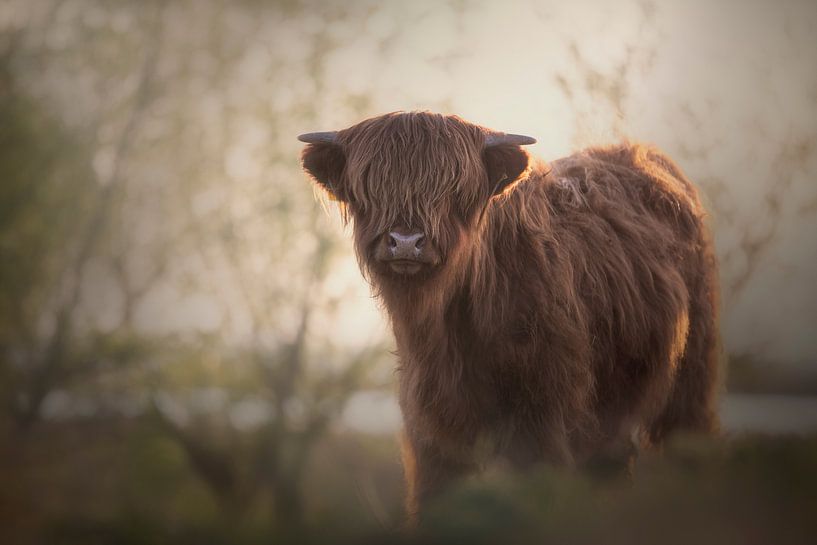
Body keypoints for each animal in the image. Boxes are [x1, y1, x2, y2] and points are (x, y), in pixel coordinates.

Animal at [298, 111, 720, 518]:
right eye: (370, 185)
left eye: (454, 189)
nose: (405, 241)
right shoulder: (434, 437)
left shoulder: (541, 424)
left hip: (690, 377)